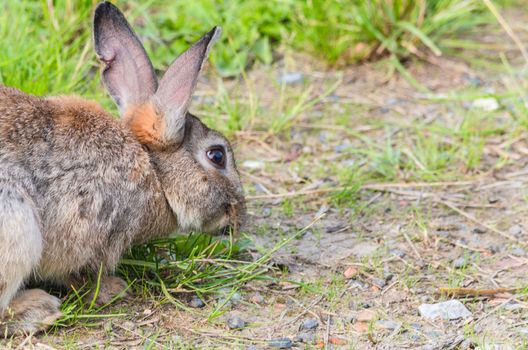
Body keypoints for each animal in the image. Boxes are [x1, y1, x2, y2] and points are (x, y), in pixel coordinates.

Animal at [0, 0, 244, 336]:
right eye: (217, 155)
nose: (239, 217)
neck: (154, 171)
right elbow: (76, 272)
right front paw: (112, 289)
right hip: (16, 223)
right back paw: (39, 309)